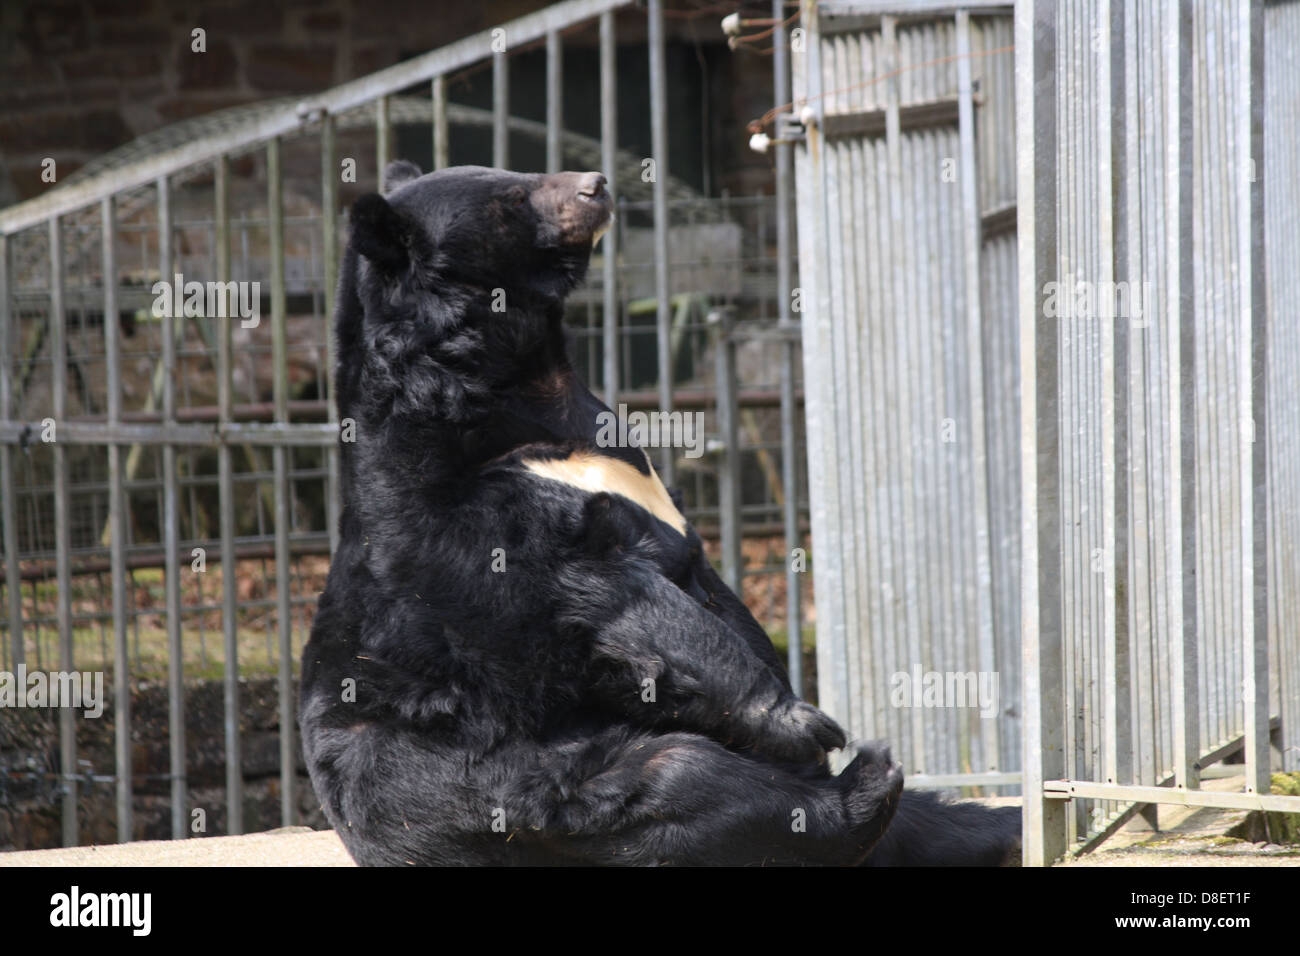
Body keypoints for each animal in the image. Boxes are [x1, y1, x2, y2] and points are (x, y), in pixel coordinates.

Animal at [299, 164, 1019, 868]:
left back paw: (994, 821)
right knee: (687, 784)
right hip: (503, 780)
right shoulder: (476, 515)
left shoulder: (627, 474)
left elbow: (702, 581)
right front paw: (800, 721)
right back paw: (863, 785)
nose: (595, 183)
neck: (515, 384)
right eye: (511, 197)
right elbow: (615, 598)